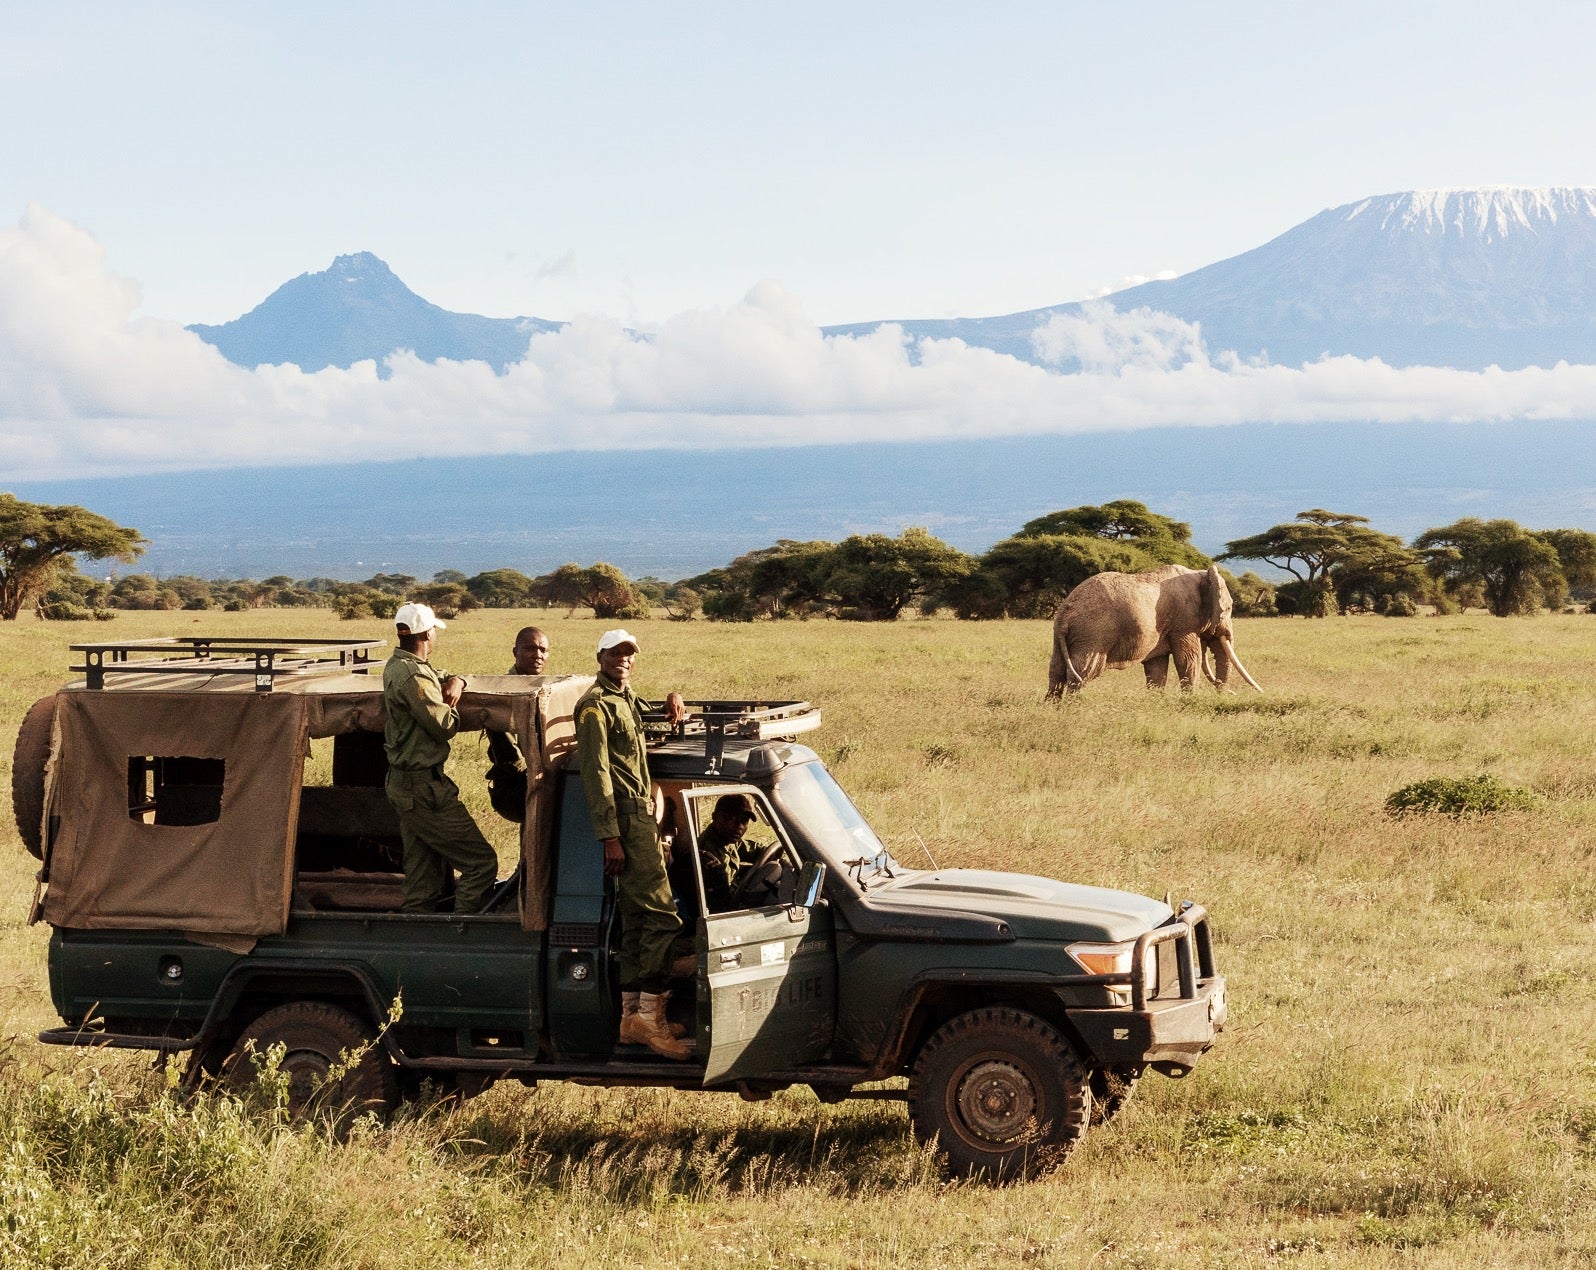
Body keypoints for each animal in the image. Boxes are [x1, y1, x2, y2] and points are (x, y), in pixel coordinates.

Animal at [1046, 564, 1263, 698]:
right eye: (1228, 609)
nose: (1231, 695)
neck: (1202, 573)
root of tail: (1064, 614)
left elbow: (1156, 666)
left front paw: (1157, 701)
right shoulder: (1183, 621)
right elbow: (1188, 659)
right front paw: (1190, 700)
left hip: (1063, 637)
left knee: (1056, 671)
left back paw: (1054, 709)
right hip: (1092, 635)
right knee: (1083, 672)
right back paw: (1074, 708)